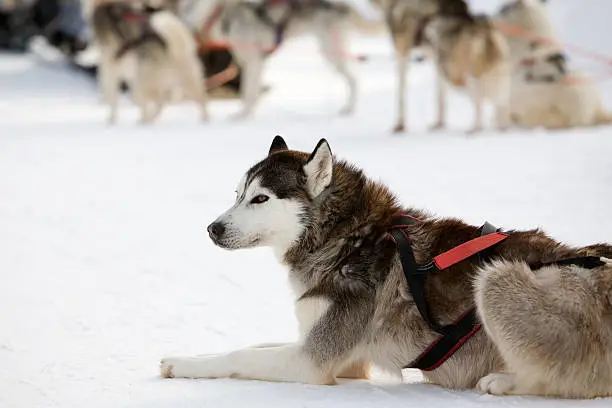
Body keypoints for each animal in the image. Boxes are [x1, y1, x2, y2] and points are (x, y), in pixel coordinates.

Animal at [160, 137, 612, 398]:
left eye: (260, 199)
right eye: (238, 194)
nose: (212, 228)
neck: (347, 240)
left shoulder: (310, 361)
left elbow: (241, 353)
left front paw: (185, 366)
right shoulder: (336, 352)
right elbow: (253, 345)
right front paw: (189, 356)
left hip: (495, 277)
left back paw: (502, 381)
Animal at [183, 0, 382, 118]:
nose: (185, 15)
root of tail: (342, 7)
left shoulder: (254, 62)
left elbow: (249, 92)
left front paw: (243, 115)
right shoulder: (251, 63)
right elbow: (251, 91)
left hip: (331, 52)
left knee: (354, 79)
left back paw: (349, 109)